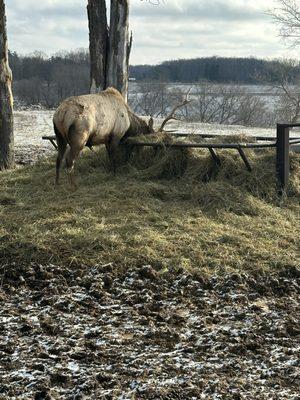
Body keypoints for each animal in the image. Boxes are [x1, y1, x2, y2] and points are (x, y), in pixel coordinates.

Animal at [53, 86, 190, 186]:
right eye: (149, 135)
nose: (154, 148)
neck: (129, 123)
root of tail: (61, 113)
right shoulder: (116, 135)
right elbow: (113, 155)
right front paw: (115, 173)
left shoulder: (106, 138)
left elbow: (109, 155)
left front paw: (110, 170)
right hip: (79, 137)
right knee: (69, 160)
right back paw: (73, 185)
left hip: (59, 136)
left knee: (59, 158)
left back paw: (57, 183)